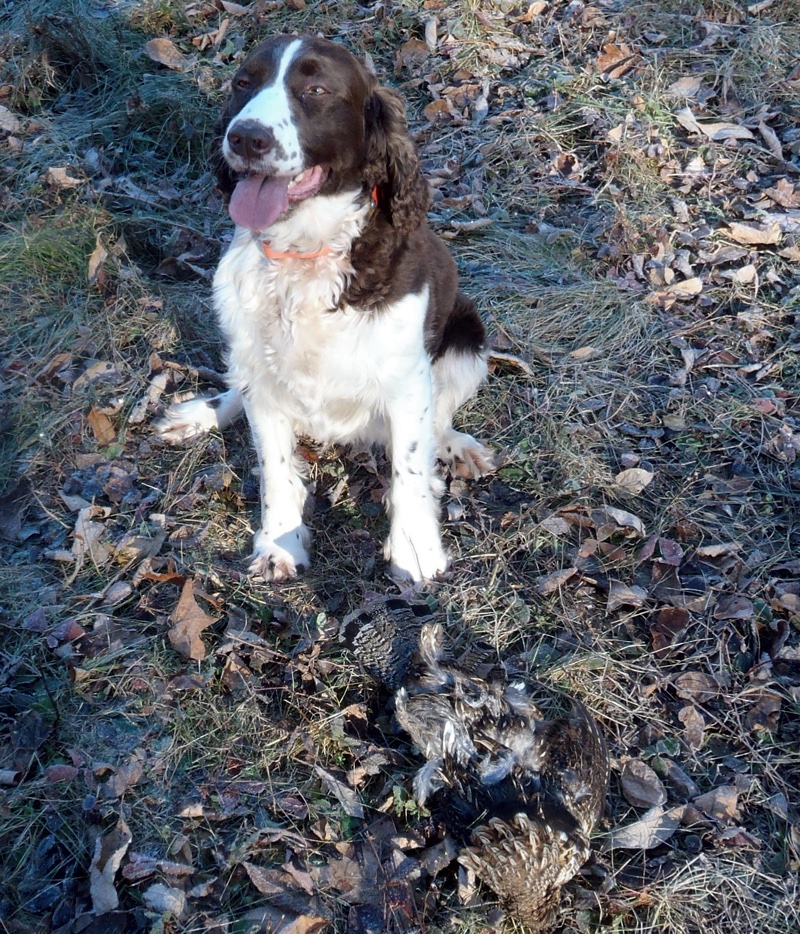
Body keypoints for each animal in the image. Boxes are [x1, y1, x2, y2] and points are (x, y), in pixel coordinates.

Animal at [155, 38, 494, 584]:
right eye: (243, 83)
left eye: (316, 90)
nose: (245, 138)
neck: (304, 252)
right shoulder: (265, 379)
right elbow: (275, 469)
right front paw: (281, 543)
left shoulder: (406, 380)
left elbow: (410, 466)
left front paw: (415, 547)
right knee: (239, 388)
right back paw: (201, 414)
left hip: (468, 333)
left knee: (439, 416)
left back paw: (455, 447)